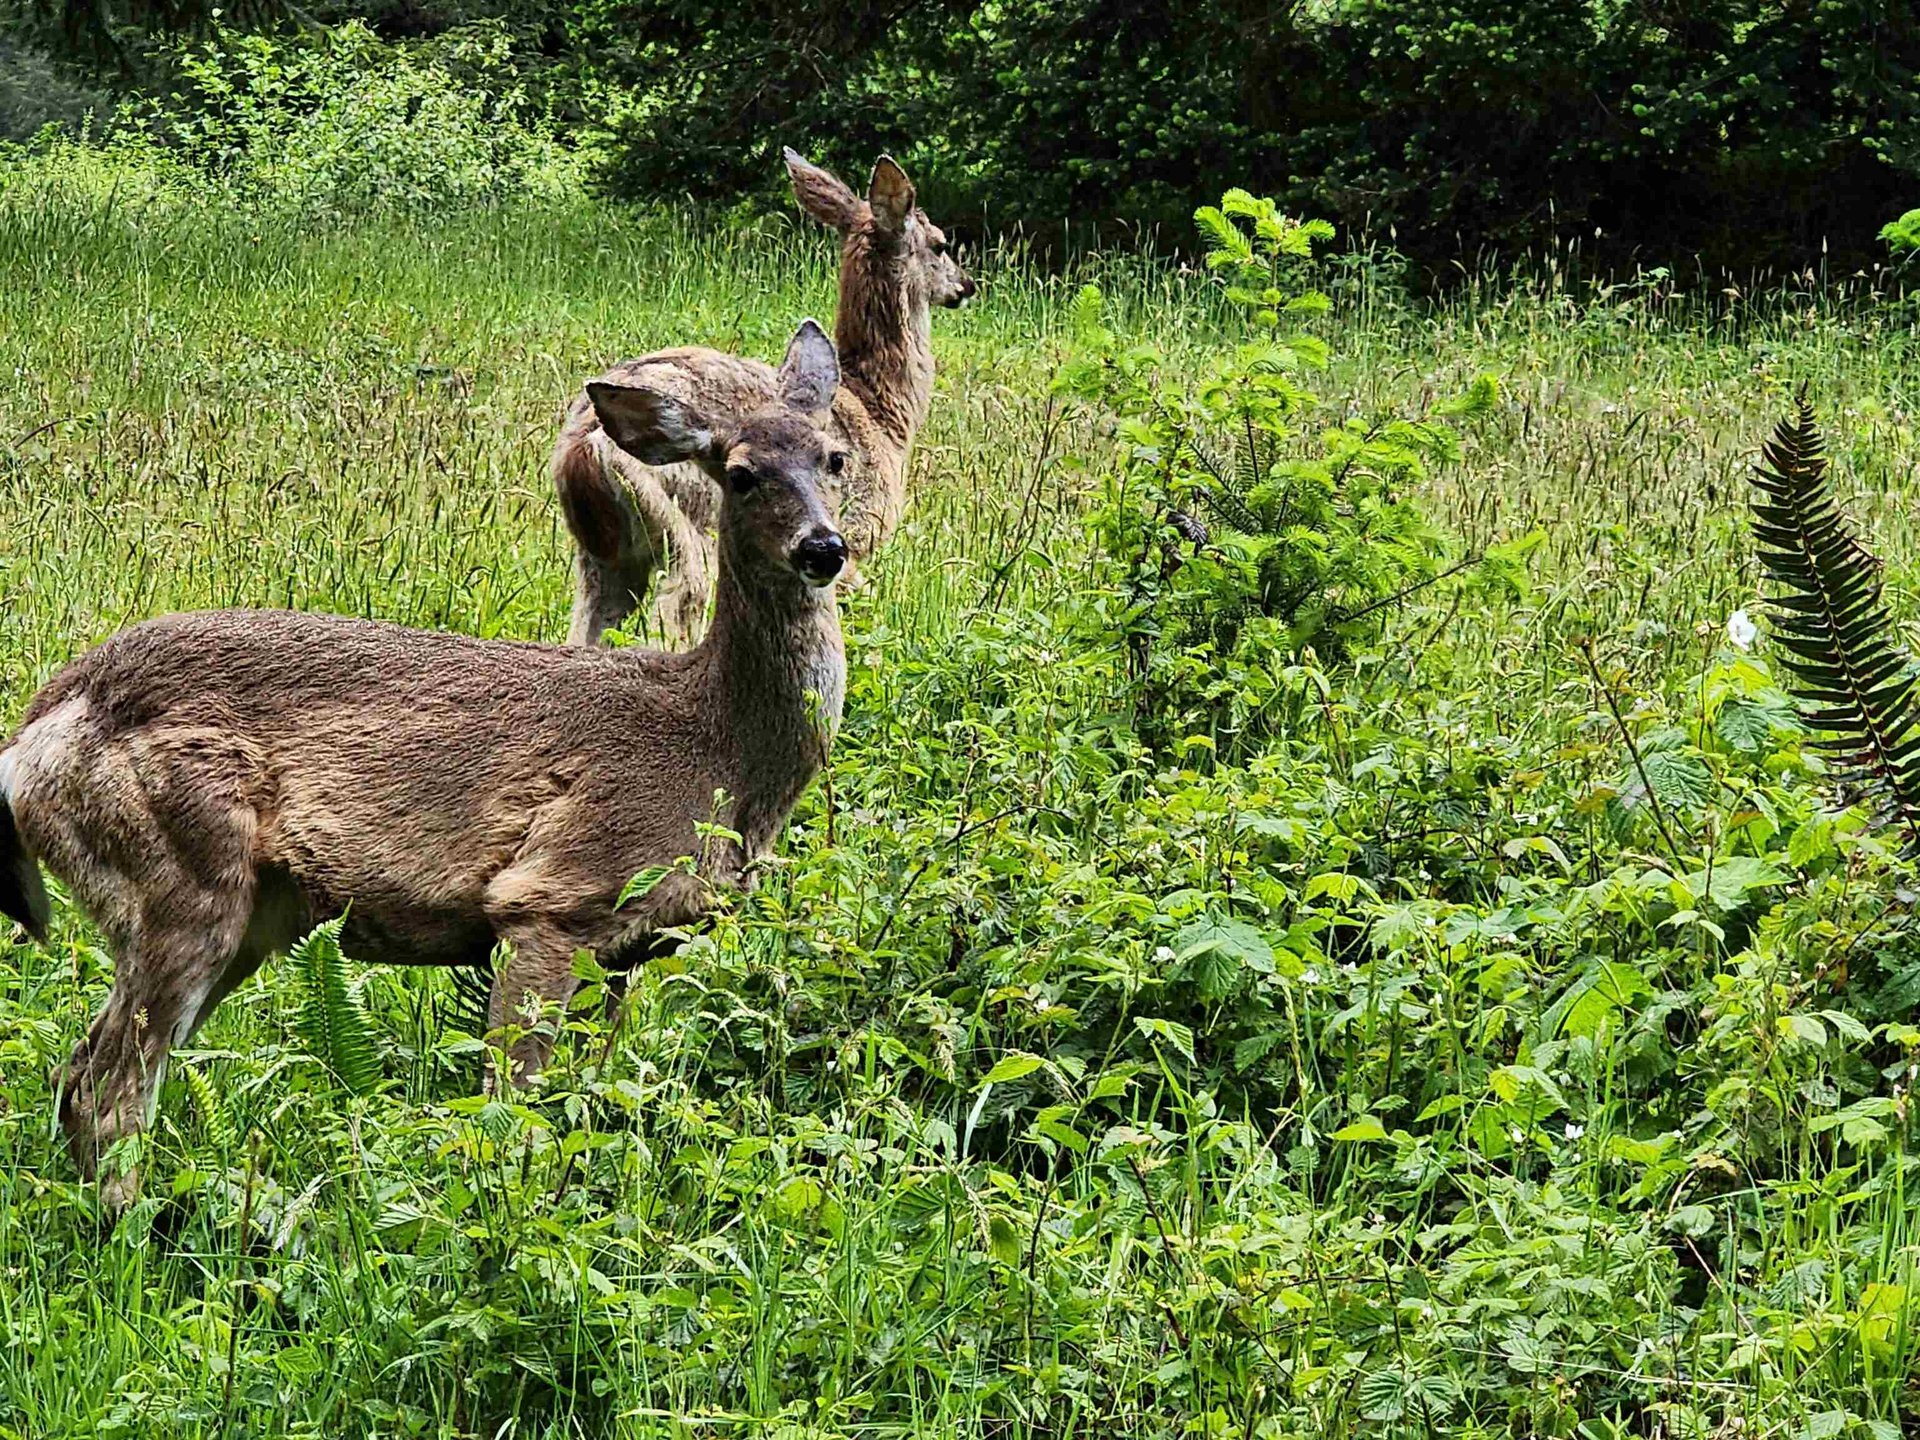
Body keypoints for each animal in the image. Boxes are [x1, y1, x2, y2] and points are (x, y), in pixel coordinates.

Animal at [0, 321, 850, 1208]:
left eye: (835, 457)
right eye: (742, 474)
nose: (824, 547)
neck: (714, 748)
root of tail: (31, 737)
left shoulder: (630, 951)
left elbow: (584, 1103)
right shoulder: (552, 895)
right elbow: (513, 1110)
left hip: (250, 914)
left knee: (79, 1075)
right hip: (179, 872)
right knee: (108, 1092)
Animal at [554, 148, 976, 649]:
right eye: (940, 244)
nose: (967, 285)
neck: (880, 413)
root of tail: (581, 447)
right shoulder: (852, 535)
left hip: (601, 557)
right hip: (686, 525)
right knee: (674, 612)